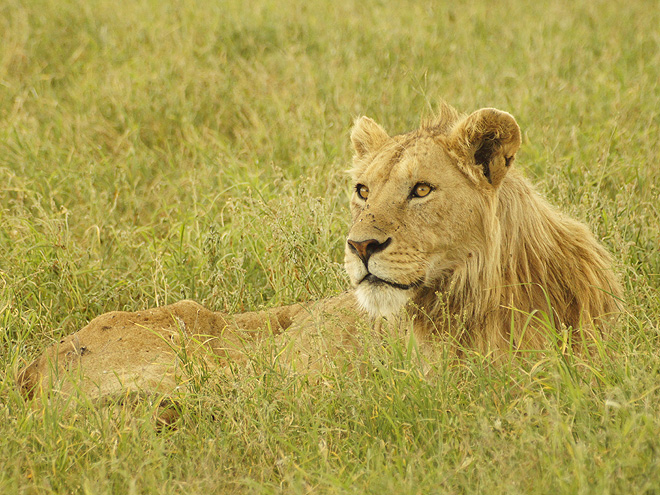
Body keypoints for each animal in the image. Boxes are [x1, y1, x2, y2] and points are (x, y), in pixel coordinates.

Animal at [16, 101, 624, 406]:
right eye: (362, 190)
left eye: (421, 189)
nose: (360, 245)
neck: (486, 297)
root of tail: (35, 364)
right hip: (205, 363)